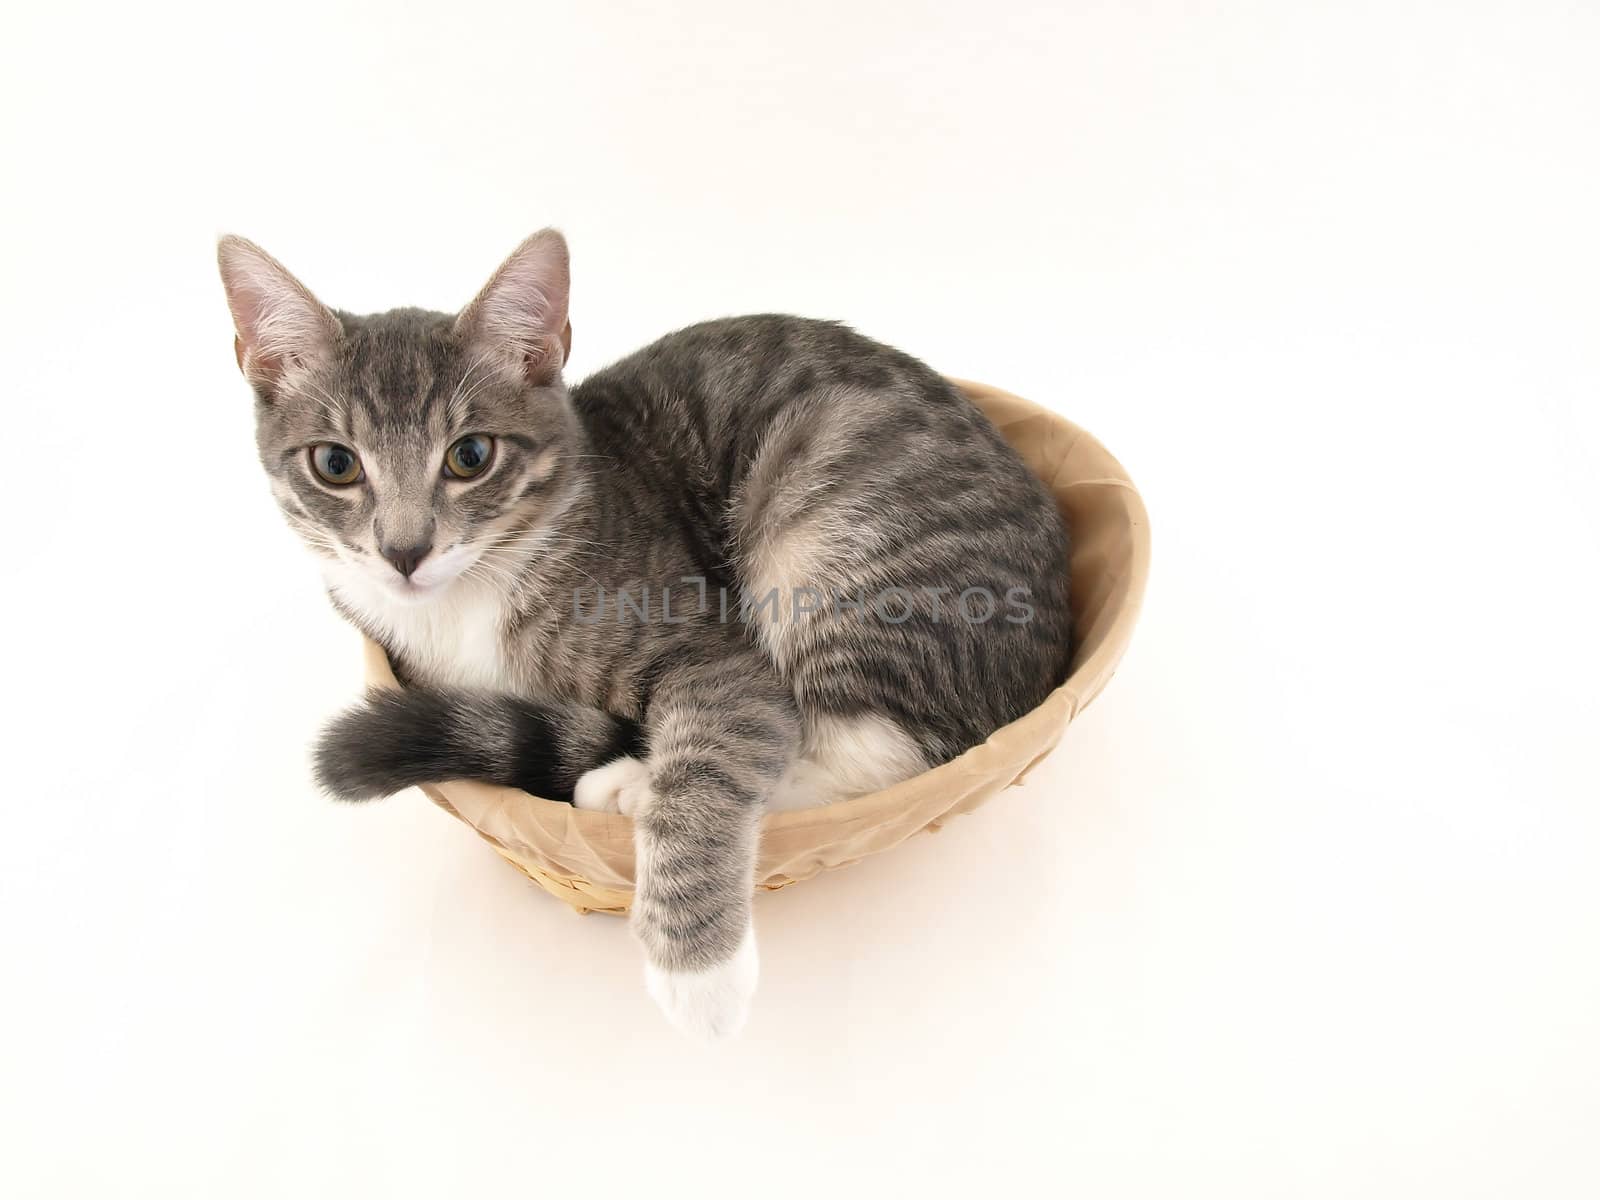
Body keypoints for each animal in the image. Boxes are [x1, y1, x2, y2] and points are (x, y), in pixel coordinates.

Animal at [209, 230, 1062, 1036]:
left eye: (470, 456)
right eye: (336, 465)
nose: (404, 551)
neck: (468, 602)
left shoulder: (714, 650)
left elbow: (726, 751)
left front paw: (700, 973)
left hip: (840, 538)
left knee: (876, 754)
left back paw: (625, 784)